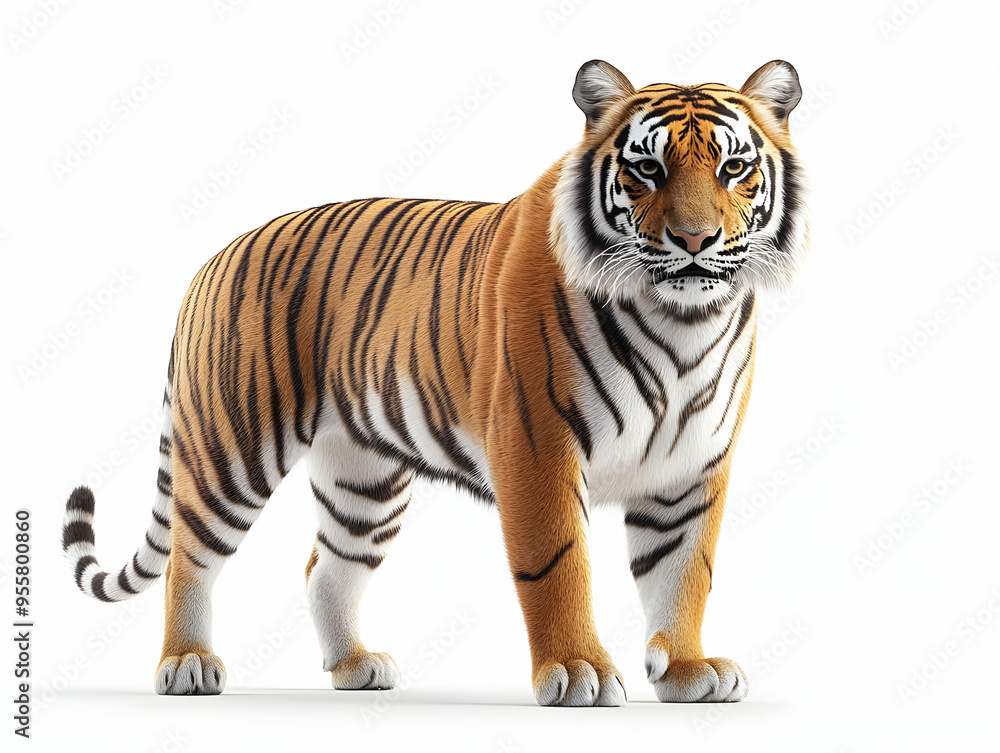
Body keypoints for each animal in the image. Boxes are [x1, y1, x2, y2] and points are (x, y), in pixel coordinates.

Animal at [61, 59, 808, 706]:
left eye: (734, 168)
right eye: (647, 168)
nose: (695, 240)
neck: (683, 323)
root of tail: (211, 259)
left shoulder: (692, 466)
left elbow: (685, 573)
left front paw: (685, 668)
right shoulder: (538, 449)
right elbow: (559, 566)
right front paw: (580, 671)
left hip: (363, 479)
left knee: (325, 568)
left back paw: (355, 666)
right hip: (232, 448)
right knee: (190, 555)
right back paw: (186, 663)